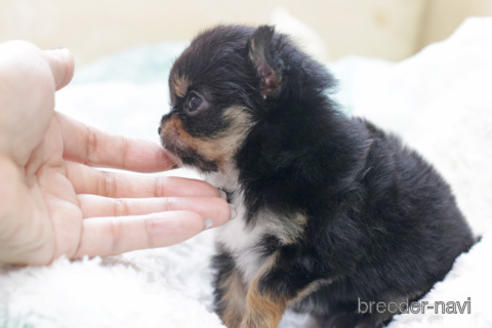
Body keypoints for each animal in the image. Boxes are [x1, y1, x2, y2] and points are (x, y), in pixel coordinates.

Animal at [159, 25, 476, 328]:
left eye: (193, 102)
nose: (160, 126)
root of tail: (469, 238)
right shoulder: (237, 247)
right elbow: (232, 296)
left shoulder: (316, 249)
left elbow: (261, 291)